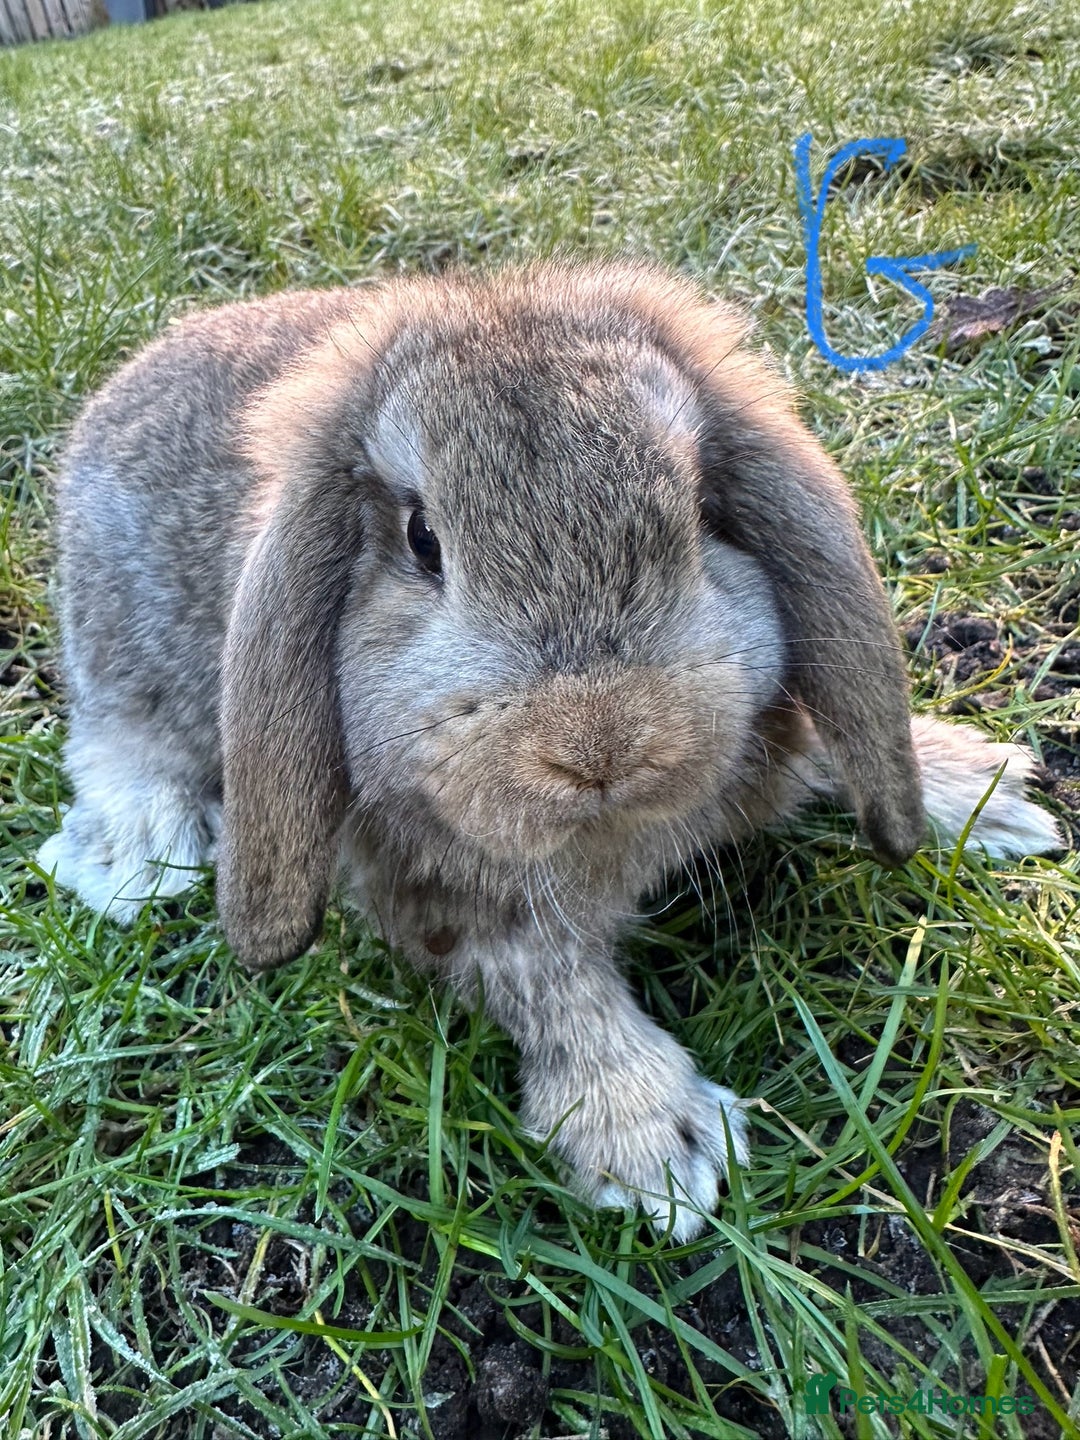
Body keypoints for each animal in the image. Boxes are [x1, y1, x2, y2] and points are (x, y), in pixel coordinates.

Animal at [38, 260, 1065, 1241]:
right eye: (422, 540)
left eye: (701, 511)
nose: (598, 744)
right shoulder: (451, 901)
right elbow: (552, 988)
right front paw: (656, 1151)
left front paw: (988, 792)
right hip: (125, 662)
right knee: (113, 740)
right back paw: (139, 857)